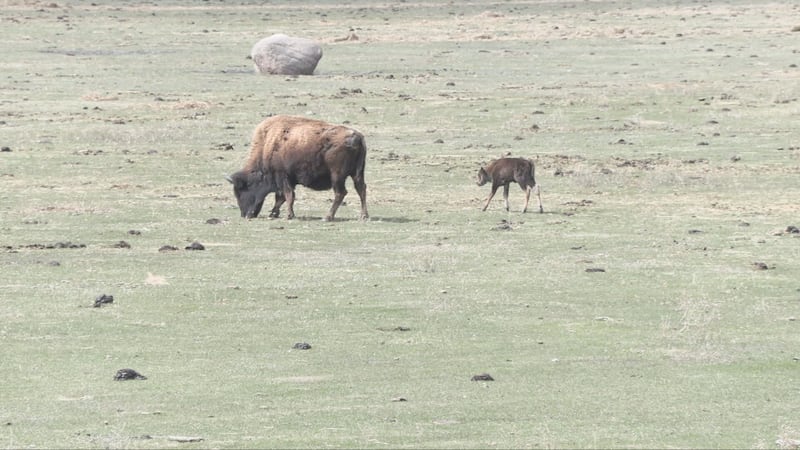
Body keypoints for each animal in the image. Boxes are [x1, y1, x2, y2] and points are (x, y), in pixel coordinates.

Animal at [226, 115, 368, 221]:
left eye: (241, 190)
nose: (245, 215)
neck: (267, 145)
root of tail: (358, 137)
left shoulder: (282, 176)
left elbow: (288, 195)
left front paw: (289, 215)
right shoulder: (287, 180)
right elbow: (281, 197)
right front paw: (274, 214)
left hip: (337, 175)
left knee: (340, 193)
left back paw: (327, 217)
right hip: (357, 173)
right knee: (361, 189)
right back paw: (363, 216)